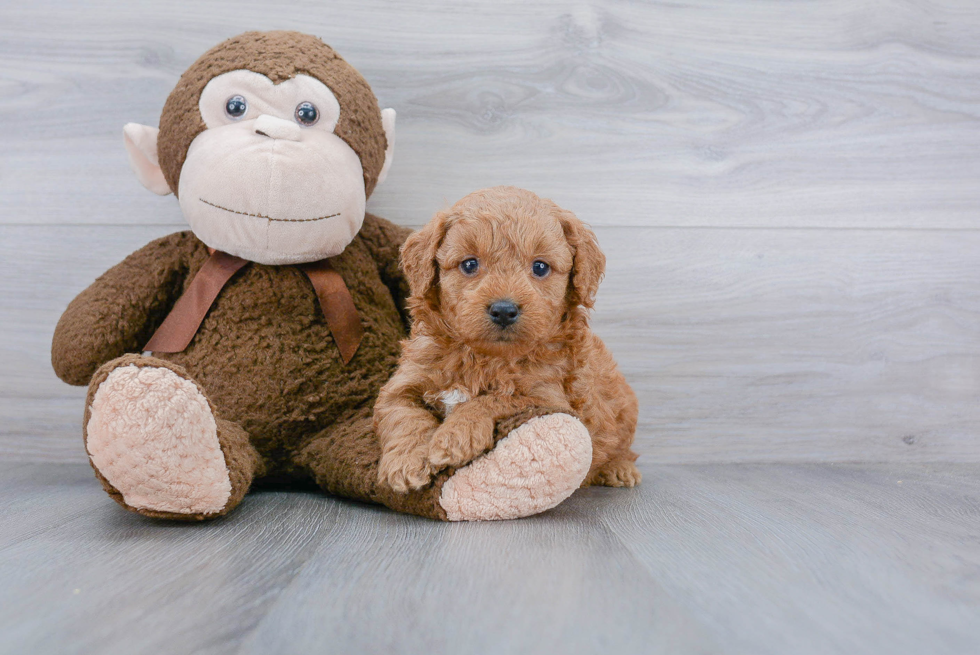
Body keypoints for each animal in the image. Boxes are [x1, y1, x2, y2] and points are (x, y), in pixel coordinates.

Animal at [372, 187, 640, 494]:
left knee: (622, 448)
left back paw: (619, 469)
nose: (503, 310)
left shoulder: (547, 398)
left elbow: (495, 399)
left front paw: (454, 435)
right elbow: (404, 416)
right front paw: (404, 464)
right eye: (469, 264)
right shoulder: (403, 384)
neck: (481, 356)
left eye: (540, 267)